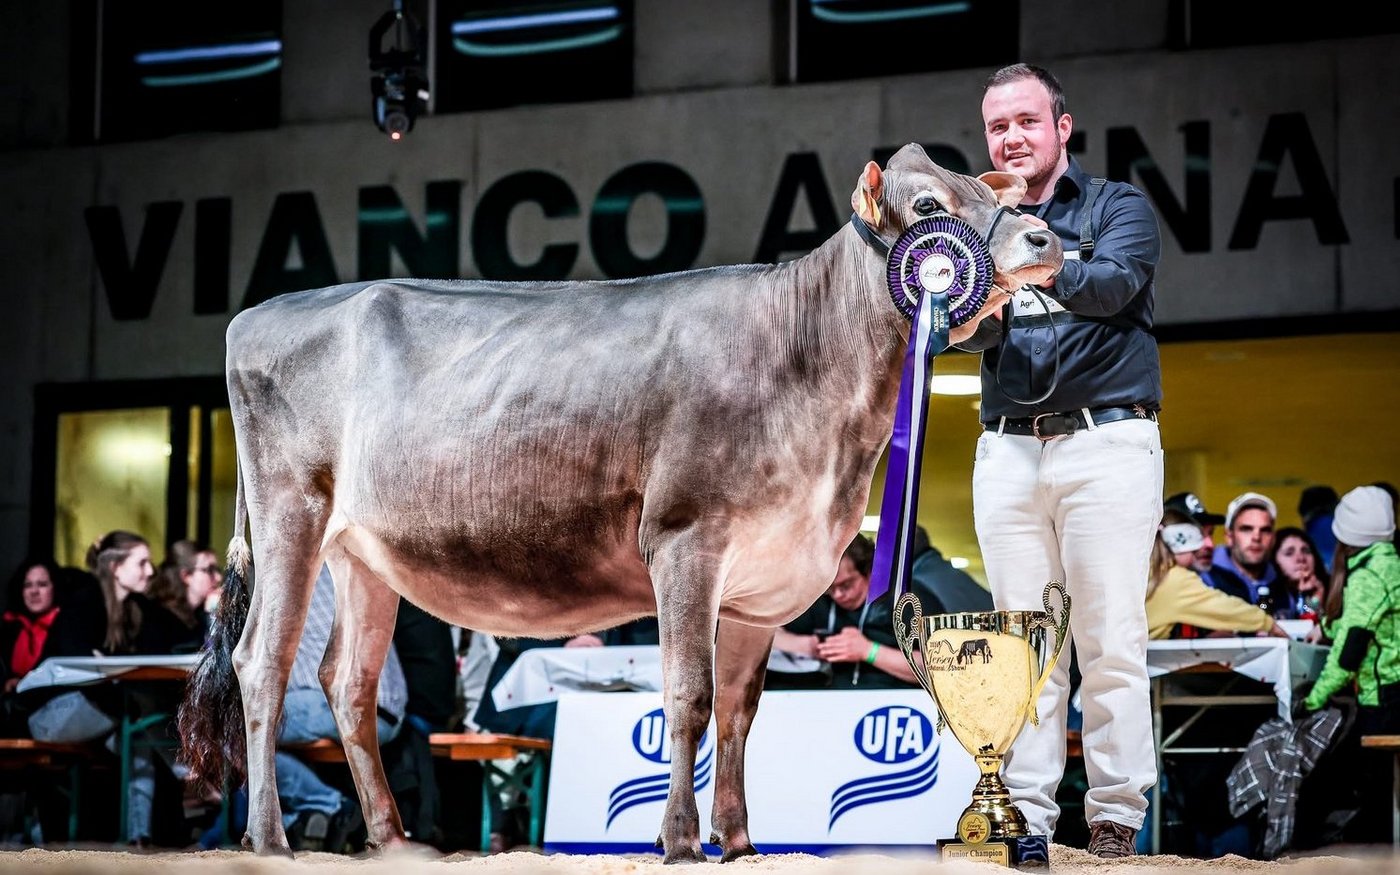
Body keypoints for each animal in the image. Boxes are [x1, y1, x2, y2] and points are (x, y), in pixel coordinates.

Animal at [178, 143, 1062, 862]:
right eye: (930, 208)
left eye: (983, 189)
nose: (1045, 239)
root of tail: (259, 313)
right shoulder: (685, 540)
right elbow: (688, 696)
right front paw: (679, 840)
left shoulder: (762, 583)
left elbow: (741, 711)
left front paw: (740, 841)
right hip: (291, 508)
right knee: (264, 660)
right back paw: (269, 838)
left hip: (363, 551)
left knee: (348, 680)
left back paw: (395, 842)